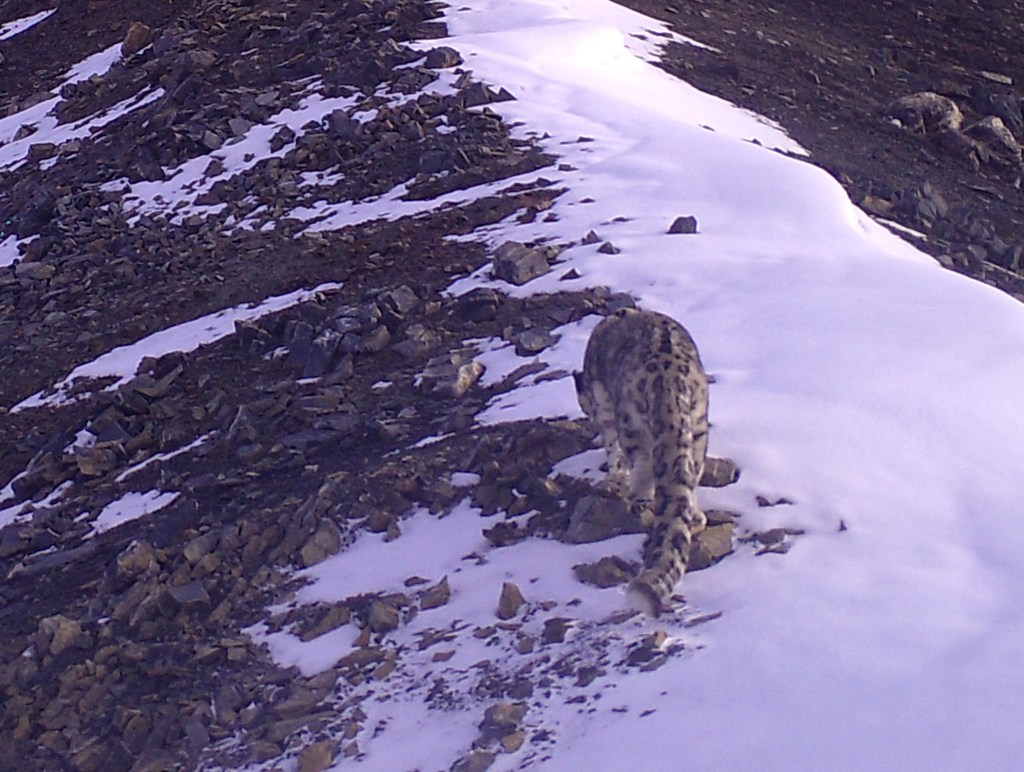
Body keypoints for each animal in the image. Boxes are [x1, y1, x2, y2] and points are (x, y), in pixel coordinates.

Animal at [574, 307, 709, 617]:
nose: (585, 412)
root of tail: (670, 376)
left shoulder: (603, 404)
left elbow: (612, 449)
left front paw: (613, 476)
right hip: (698, 424)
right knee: (691, 475)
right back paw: (696, 516)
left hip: (630, 421)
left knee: (644, 463)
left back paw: (638, 496)